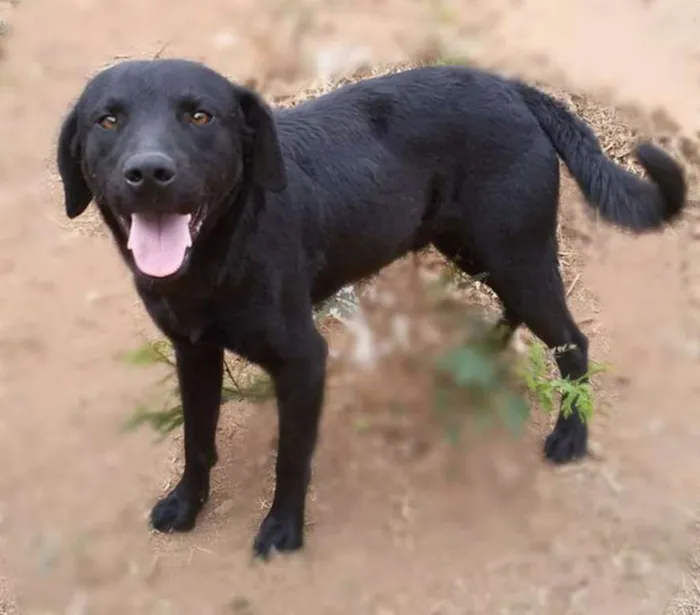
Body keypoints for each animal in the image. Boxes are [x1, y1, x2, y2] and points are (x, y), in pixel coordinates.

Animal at [57, 57, 688, 560]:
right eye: (107, 120)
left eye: (200, 117)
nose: (149, 174)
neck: (220, 252)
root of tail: (513, 88)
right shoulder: (194, 352)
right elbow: (196, 440)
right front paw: (186, 506)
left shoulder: (304, 361)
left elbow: (291, 458)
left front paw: (283, 531)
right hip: (474, 247)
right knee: (519, 311)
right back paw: (487, 348)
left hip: (515, 250)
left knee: (573, 341)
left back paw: (571, 436)